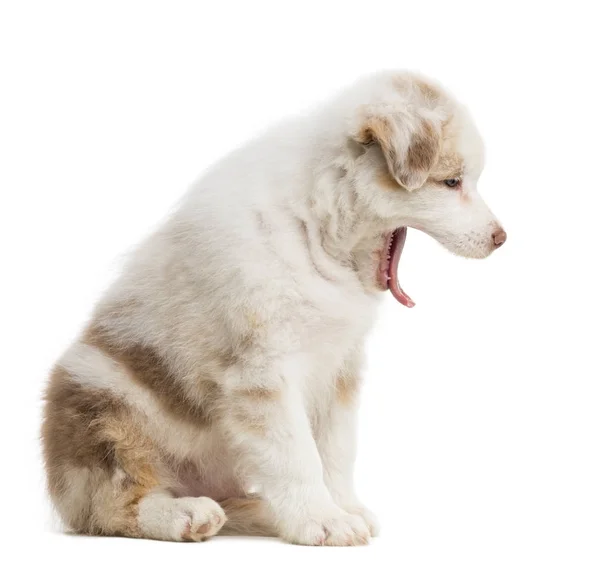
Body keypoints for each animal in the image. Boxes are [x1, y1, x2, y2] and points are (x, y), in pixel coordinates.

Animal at [41, 71, 506, 544]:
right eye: (452, 182)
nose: (501, 238)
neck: (318, 230)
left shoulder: (340, 368)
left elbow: (336, 449)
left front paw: (345, 508)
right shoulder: (263, 373)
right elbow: (297, 454)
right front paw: (324, 520)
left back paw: (259, 511)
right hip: (106, 409)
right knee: (111, 505)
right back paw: (185, 514)